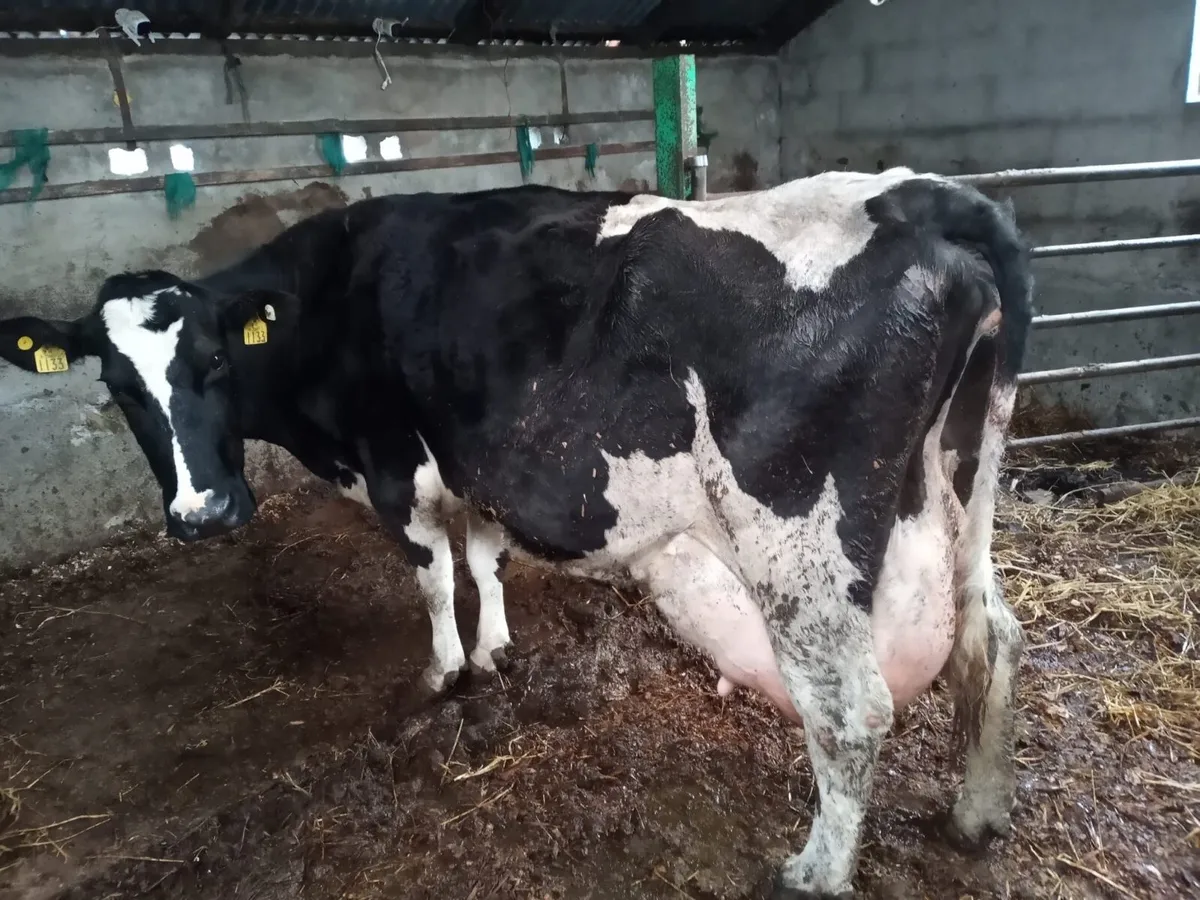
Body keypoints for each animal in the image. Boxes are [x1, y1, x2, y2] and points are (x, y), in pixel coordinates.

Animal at [0, 169, 1033, 898]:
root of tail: (912, 195)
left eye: (214, 361)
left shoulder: (396, 467)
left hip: (798, 539)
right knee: (991, 636)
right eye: (119, 387)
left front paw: (445, 671)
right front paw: (495, 647)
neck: (332, 293)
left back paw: (814, 873)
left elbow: (430, 574)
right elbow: (485, 557)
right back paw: (975, 814)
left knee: (849, 708)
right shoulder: (476, 468)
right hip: (959, 484)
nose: (203, 513)